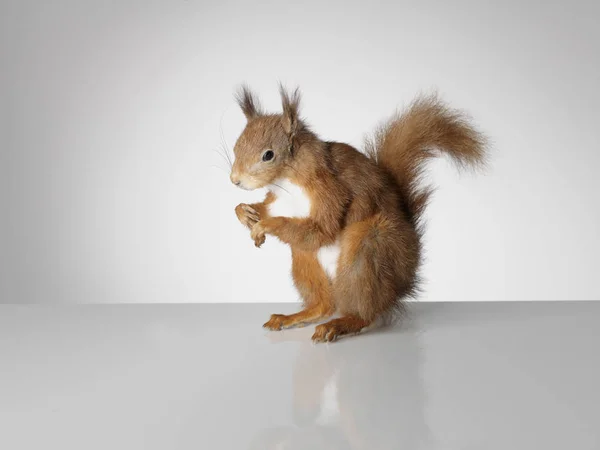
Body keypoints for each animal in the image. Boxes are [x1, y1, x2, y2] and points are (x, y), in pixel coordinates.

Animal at [230, 84, 488, 342]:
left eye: (268, 155)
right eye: (235, 147)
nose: (235, 180)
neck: (286, 181)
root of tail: (400, 283)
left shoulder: (331, 191)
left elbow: (321, 228)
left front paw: (265, 226)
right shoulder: (278, 202)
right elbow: (264, 209)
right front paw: (244, 212)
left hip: (367, 247)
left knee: (363, 312)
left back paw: (340, 324)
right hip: (304, 259)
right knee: (324, 304)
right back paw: (293, 317)